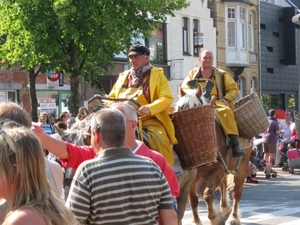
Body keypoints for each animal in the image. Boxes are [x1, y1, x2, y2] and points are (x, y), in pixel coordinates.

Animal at [176, 85, 253, 224]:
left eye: (197, 107)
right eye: (179, 108)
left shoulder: (217, 170)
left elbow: (208, 194)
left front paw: (215, 218)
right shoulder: (193, 179)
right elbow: (193, 199)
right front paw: (197, 221)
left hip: (242, 167)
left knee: (237, 192)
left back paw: (233, 217)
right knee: (223, 185)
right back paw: (225, 208)